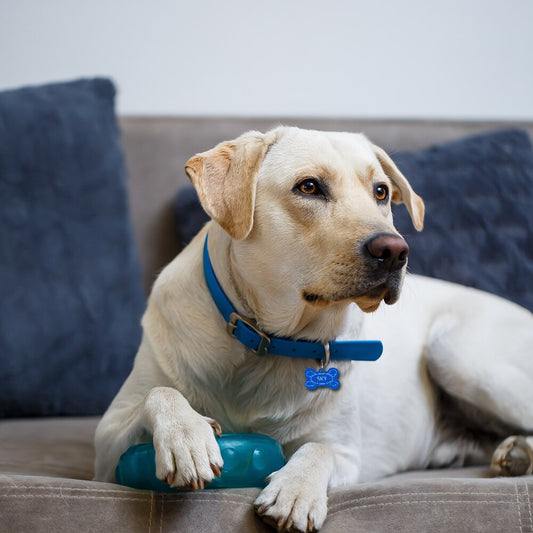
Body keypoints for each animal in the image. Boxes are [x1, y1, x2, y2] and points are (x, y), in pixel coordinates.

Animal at [93, 127, 528, 528]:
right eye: (309, 187)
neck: (271, 342)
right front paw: (185, 436)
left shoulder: (348, 453)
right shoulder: (106, 446)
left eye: (381, 192)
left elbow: (319, 450)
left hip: (456, 355)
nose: (395, 251)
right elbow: (160, 393)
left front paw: (296, 491)